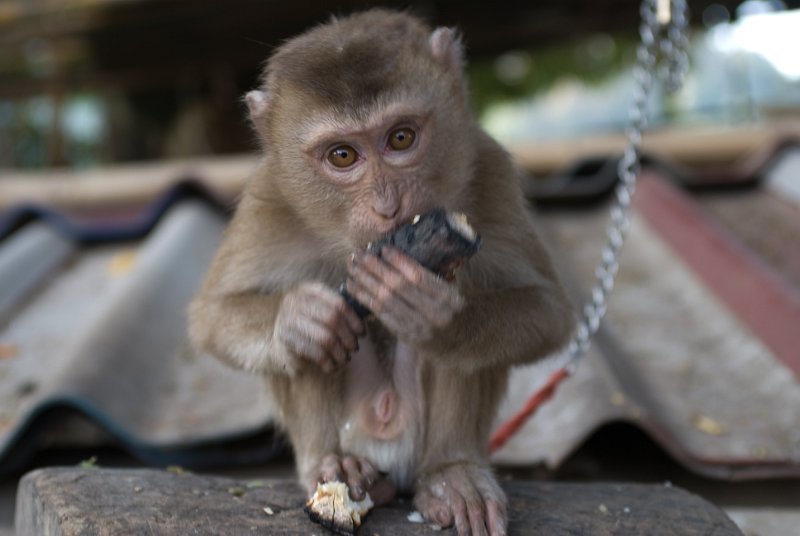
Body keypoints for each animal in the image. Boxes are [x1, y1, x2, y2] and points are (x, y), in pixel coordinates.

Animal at [188, 9, 576, 536]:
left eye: (401, 138)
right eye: (342, 155)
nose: (388, 206)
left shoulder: (489, 171)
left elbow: (544, 309)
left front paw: (438, 317)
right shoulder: (268, 199)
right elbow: (213, 317)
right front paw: (302, 319)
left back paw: (451, 474)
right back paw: (333, 464)